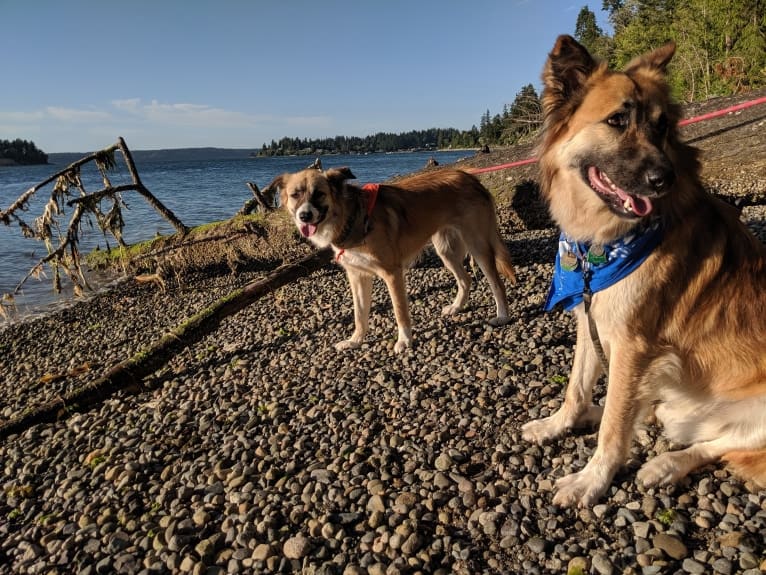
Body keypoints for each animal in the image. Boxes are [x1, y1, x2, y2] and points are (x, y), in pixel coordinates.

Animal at [268, 166, 520, 354]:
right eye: (295, 194)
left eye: (319, 193)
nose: (304, 216)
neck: (351, 217)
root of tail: (469, 176)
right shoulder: (357, 276)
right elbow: (360, 315)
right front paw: (355, 341)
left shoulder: (392, 273)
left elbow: (399, 311)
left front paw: (404, 341)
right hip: (445, 250)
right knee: (465, 279)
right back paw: (457, 306)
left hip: (477, 246)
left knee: (497, 284)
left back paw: (502, 316)